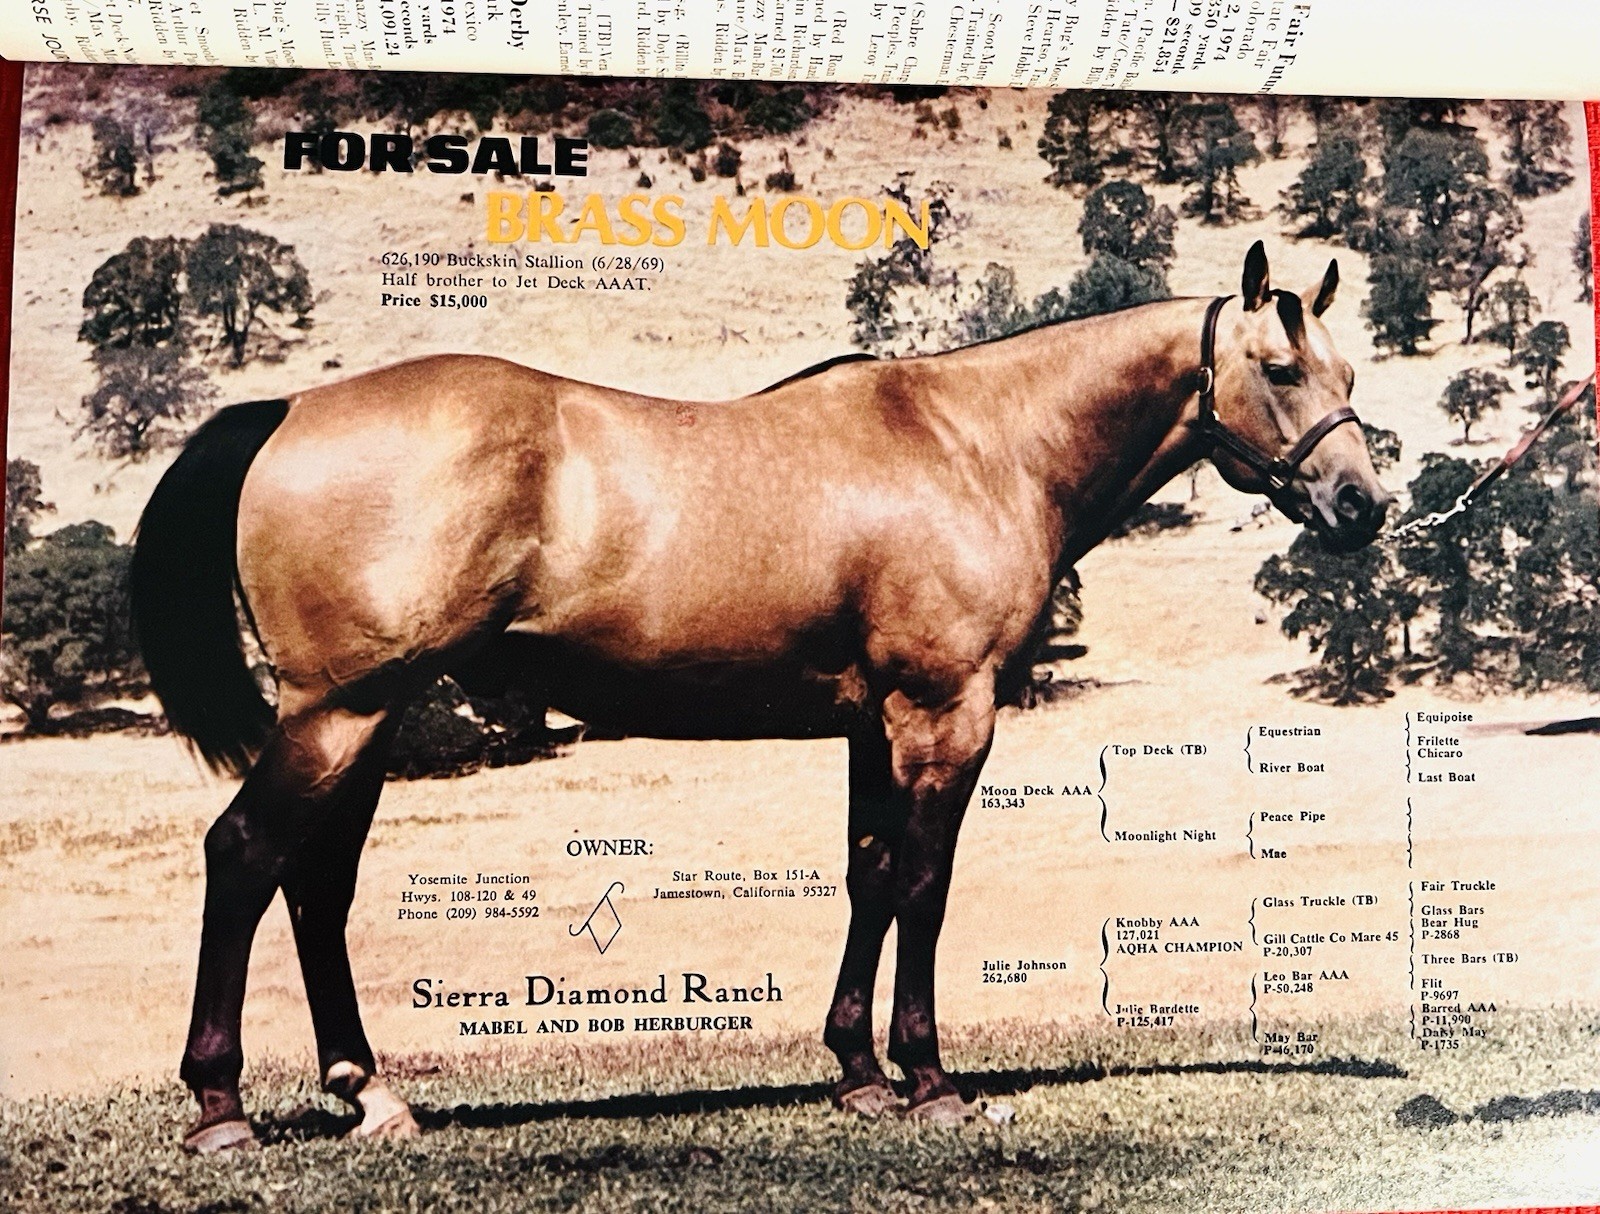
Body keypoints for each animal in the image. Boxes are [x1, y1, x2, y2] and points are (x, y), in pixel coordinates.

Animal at [130, 242, 1389, 1152]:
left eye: (1348, 375)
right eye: (1280, 370)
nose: (1361, 505)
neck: (978, 443)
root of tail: (283, 412)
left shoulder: (875, 720)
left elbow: (869, 874)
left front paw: (857, 1070)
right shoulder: (944, 710)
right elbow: (924, 884)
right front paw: (928, 1077)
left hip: (367, 717)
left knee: (315, 884)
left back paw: (370, 1093)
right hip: (339, 711)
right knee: (245, 854)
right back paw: (221, 1107)